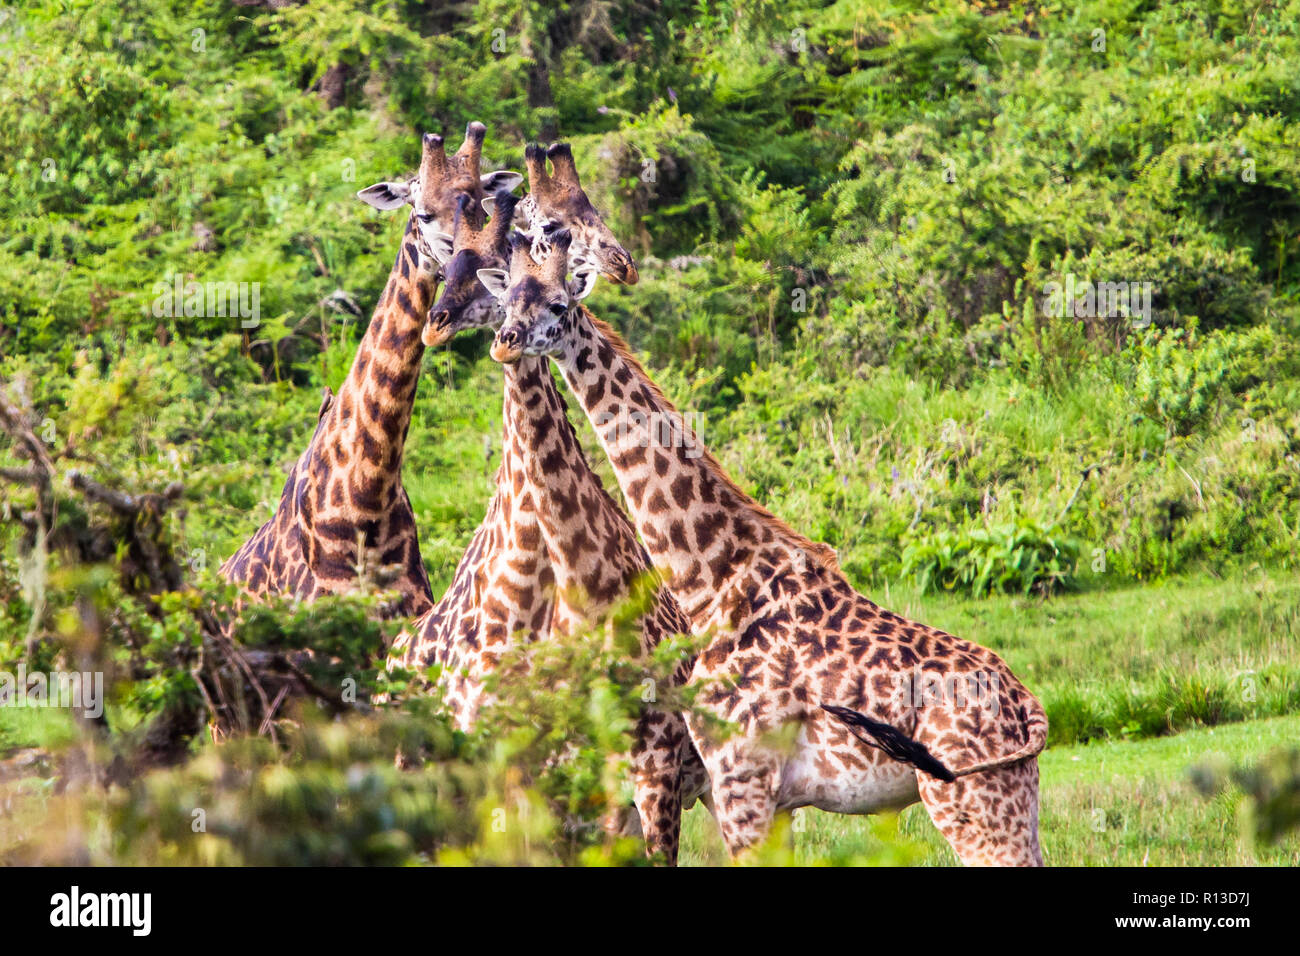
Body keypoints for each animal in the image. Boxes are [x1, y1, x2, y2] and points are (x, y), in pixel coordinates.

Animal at [485, 241, 1050, 867]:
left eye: (559, 305)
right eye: (505, 303)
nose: (505, 340)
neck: (713, 582)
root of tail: (1029, 712)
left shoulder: (739, 782)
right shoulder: (767, 800)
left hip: (970, 802)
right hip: (1013, 797)